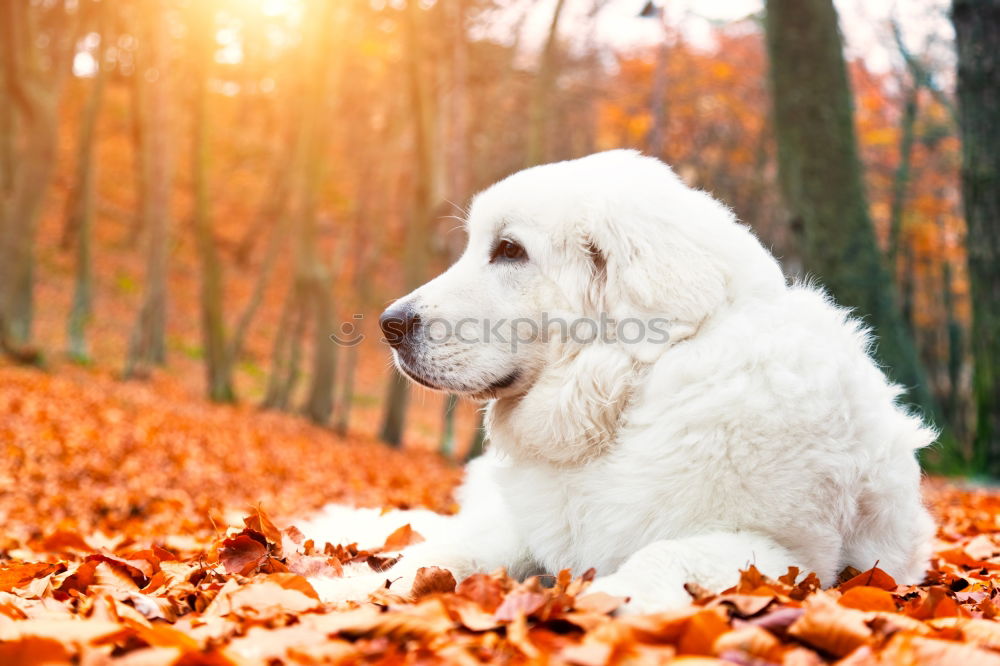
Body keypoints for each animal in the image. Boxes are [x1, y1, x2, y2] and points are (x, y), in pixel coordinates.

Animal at [306, 150, 936, 612]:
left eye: (509, 250)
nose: (389, 324)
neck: (625, 393)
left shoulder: (781, 554)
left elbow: (658, 558)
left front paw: (598, 603)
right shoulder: (528, 527)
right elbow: (445, 554)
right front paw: (349, 588)